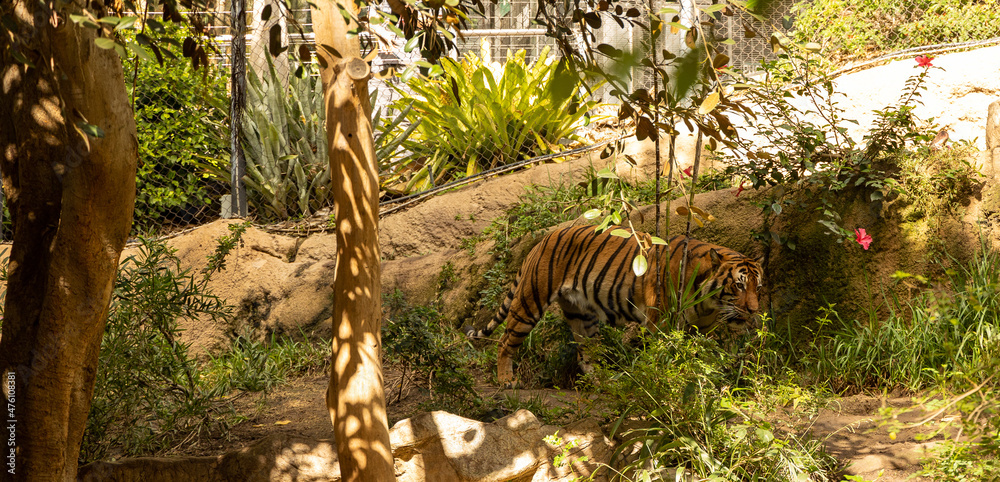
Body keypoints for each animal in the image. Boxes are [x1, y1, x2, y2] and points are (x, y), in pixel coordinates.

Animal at [464, 224, 760, 386]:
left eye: (758, 287)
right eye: (739, 285)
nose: (754, 310)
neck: (708, 302)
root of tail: (541, 241)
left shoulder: (703, 329)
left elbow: (703, 358)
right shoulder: (659, 322)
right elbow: (662, 356)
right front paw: (664, 381)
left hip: (581, 315)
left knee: (586, 354)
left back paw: (602, 381)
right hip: (530, 301)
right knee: (505, 341)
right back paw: (506, 380)